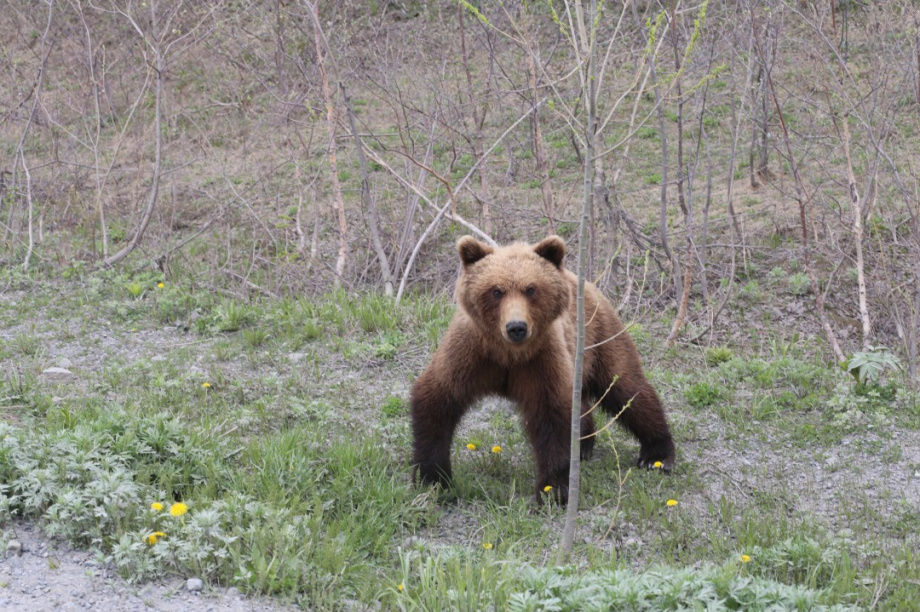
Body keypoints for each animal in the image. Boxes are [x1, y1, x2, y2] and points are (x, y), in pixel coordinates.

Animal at [410, 234, 675, 504]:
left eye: (531, 289)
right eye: (496, 291)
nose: (516, 327)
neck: (509, 354)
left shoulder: (541, 361)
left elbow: (553, 417)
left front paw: (552, 491)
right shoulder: (470, 353)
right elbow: (437, 399)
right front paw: (434, 478)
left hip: (600, 337)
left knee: (626, 389)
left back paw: (656, 455)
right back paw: (584, 445)